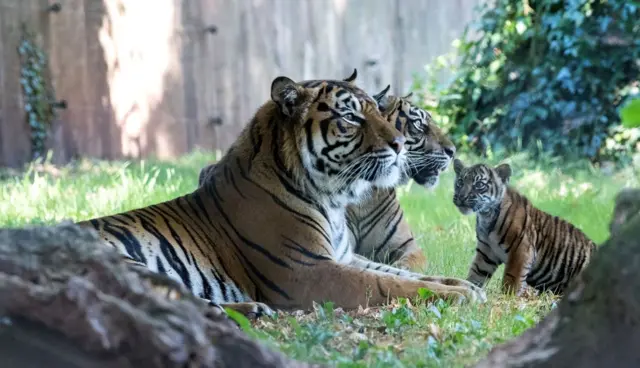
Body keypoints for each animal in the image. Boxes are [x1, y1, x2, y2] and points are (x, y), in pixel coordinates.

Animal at [76, 72, 484, 320]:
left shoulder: (343, 256)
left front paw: (464, 286)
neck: (335, 199)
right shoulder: (307, 271)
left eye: (378, 111)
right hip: (123, 262)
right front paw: (461, 296)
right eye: (352, 118)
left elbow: (407, 273)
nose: (399, 144)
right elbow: (390, 283)